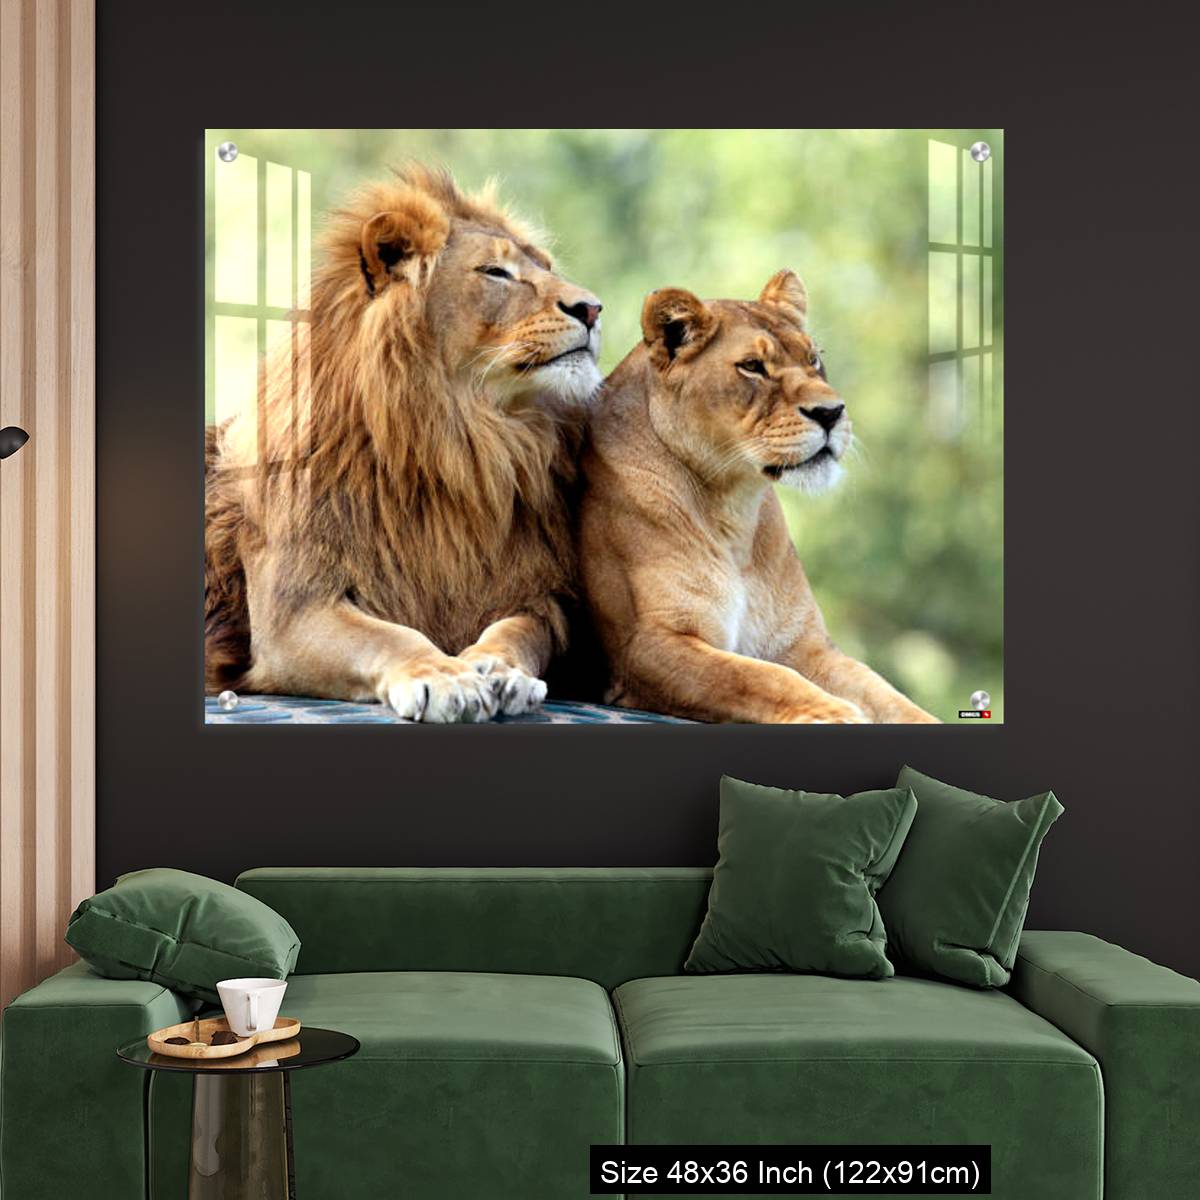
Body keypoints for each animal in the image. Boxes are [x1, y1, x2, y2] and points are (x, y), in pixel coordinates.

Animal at [205, 165, 604, 722]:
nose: (592, 308)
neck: (462, 443)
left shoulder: (539, 596)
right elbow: (389, 637)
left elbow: (518, 632)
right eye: (495, 273)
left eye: (545, 266)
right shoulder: (292, 611)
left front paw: (500, 670)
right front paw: (443, 676)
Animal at [579, 271, 939, 724]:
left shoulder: (802, 644)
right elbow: (759, 677)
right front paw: (835, 712)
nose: (831, 412)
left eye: (813, 359)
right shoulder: (646, 647)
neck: (733, 507)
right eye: (752, 366)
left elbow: (885, 693)